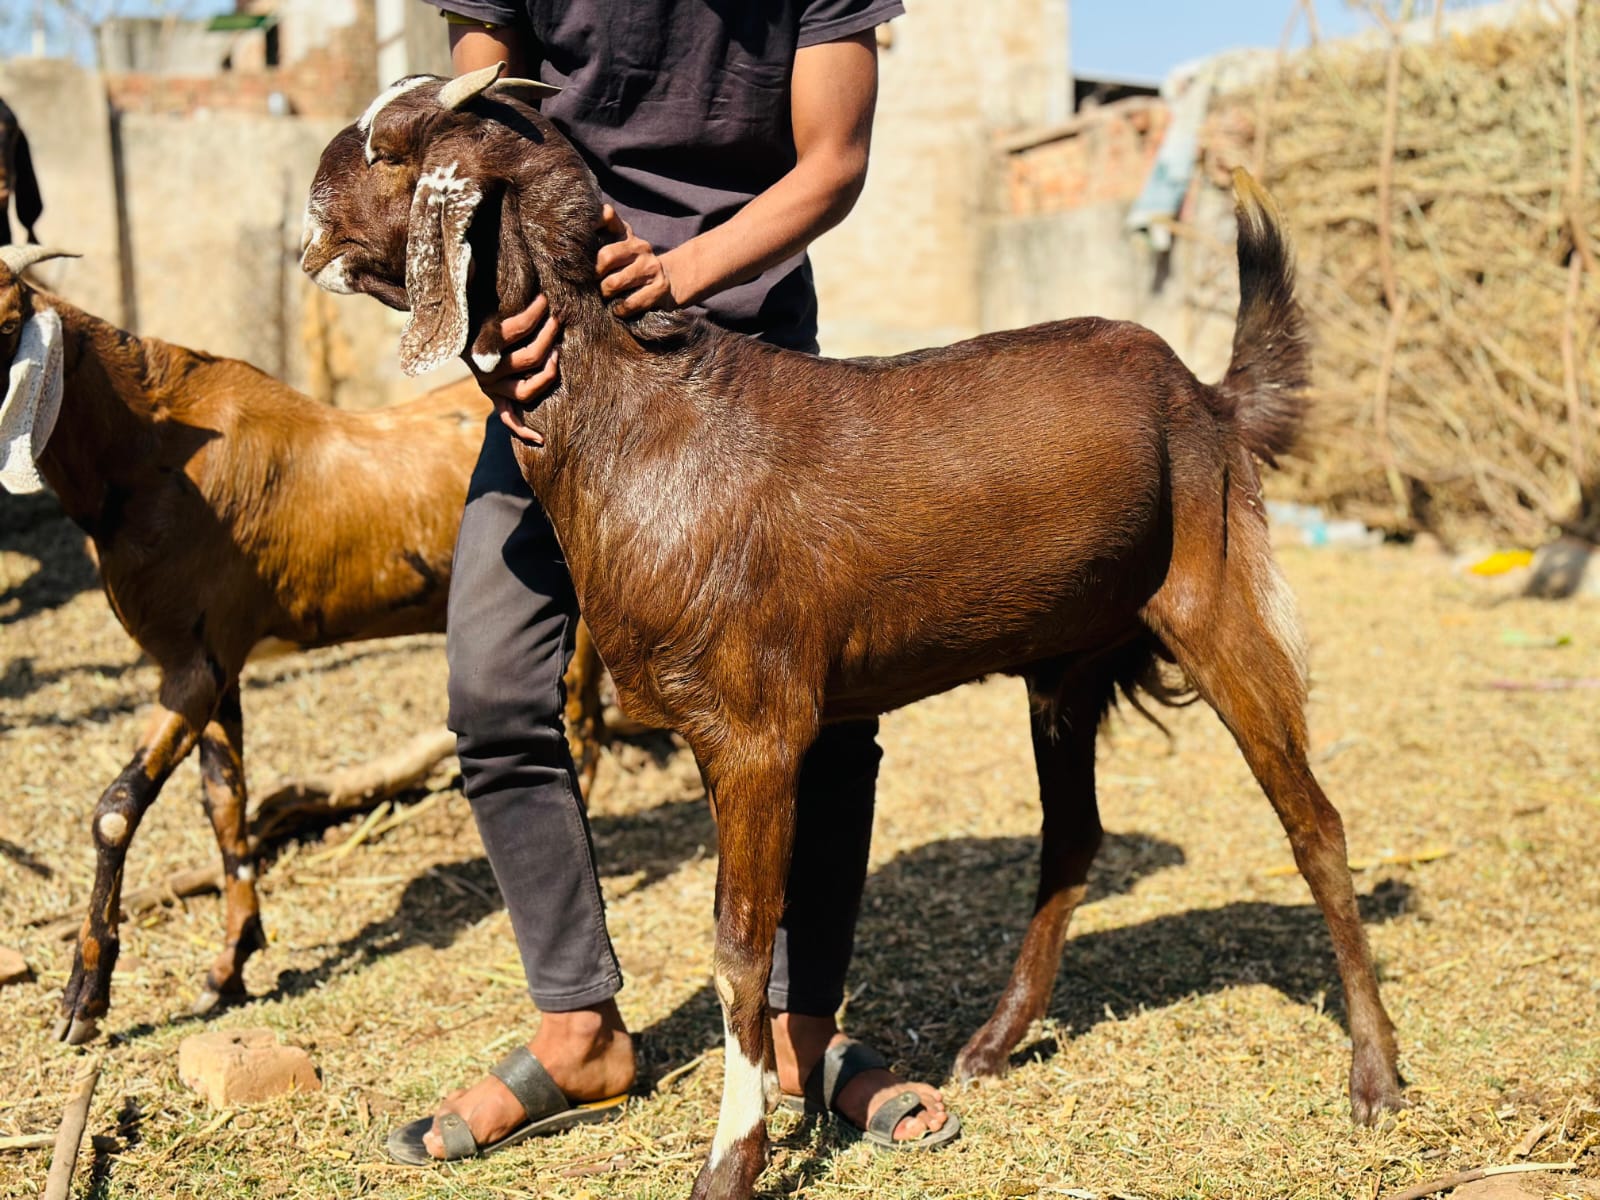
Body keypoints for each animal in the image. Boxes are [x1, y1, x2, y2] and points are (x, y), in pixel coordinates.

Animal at [0, 249, 604, 1049]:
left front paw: (83, 1001)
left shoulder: (193, 663)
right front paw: (229, 967)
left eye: (7, 319)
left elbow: (116, 808)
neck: (151, 458)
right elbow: (226, 803)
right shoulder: (216, 666)